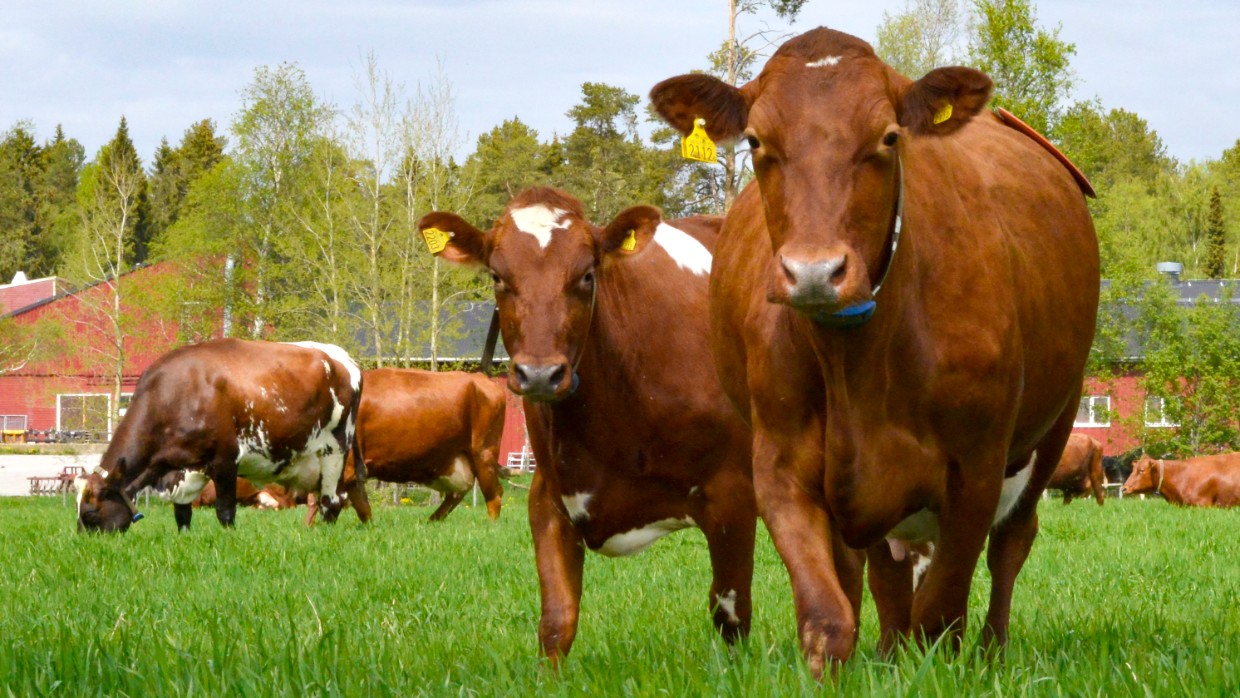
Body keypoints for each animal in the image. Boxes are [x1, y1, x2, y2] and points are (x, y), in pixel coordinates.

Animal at [76, 338, 362, 532]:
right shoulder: (182, 470)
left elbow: (226, 512)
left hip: (335, 450)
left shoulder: (226, 460)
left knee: (331, 501)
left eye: (89, 514)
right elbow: (182, 515)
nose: (86, 543)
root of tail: (343, 358)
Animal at [304, 367, 507, 524]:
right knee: (457, 493)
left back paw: (491, 526)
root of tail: (480, 378)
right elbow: (361, 509)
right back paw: (432, 521)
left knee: (494, 495)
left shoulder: (346, 469)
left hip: (484, 453)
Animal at [419, 186, 757, 665]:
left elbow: (730, 613)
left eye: (586, 276)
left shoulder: (733, 494)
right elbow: (557, 621)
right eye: (497, 277)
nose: (539, 374)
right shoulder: (548, 495)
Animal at [650, 27, 1098, 674]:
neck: (856, 360)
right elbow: (828, 615)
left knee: (1011, 545)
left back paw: (990, 651)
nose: (814, 272)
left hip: (1054, 425)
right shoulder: (779, 465)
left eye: (888, 137)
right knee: (883, 573)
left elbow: (942, 608)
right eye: (757, 140)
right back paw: (889, 651)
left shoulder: (977, 464)